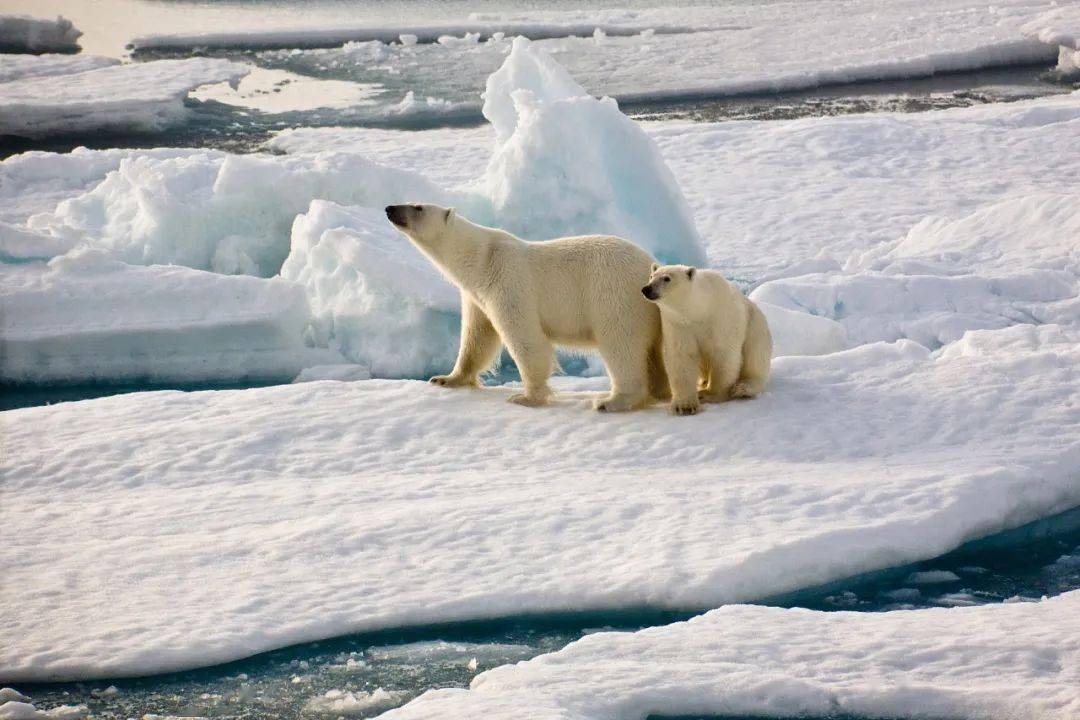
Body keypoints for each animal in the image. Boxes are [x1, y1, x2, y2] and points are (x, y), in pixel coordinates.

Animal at [384, 202, 669, 410]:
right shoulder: (476, 295)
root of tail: (651, 264)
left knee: (621, 344)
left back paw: (612, 401)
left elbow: (525, 338)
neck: (480, 259)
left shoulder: (507, 280)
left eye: (418, 207)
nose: (389, 208)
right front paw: (445, 379)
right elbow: (478, 337)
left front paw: (525, 397)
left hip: (616, 296)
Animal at [639, 264, 768, 416]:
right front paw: (685, 406)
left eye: (667, 278)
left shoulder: (721, 319)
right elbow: (682, 357)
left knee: (755, 358)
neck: (699, 310)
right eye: (651, 276)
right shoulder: (679, 324)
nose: (647, 289)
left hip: (755, 327)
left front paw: (710, 394)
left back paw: (743, 388)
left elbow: (724, 355)